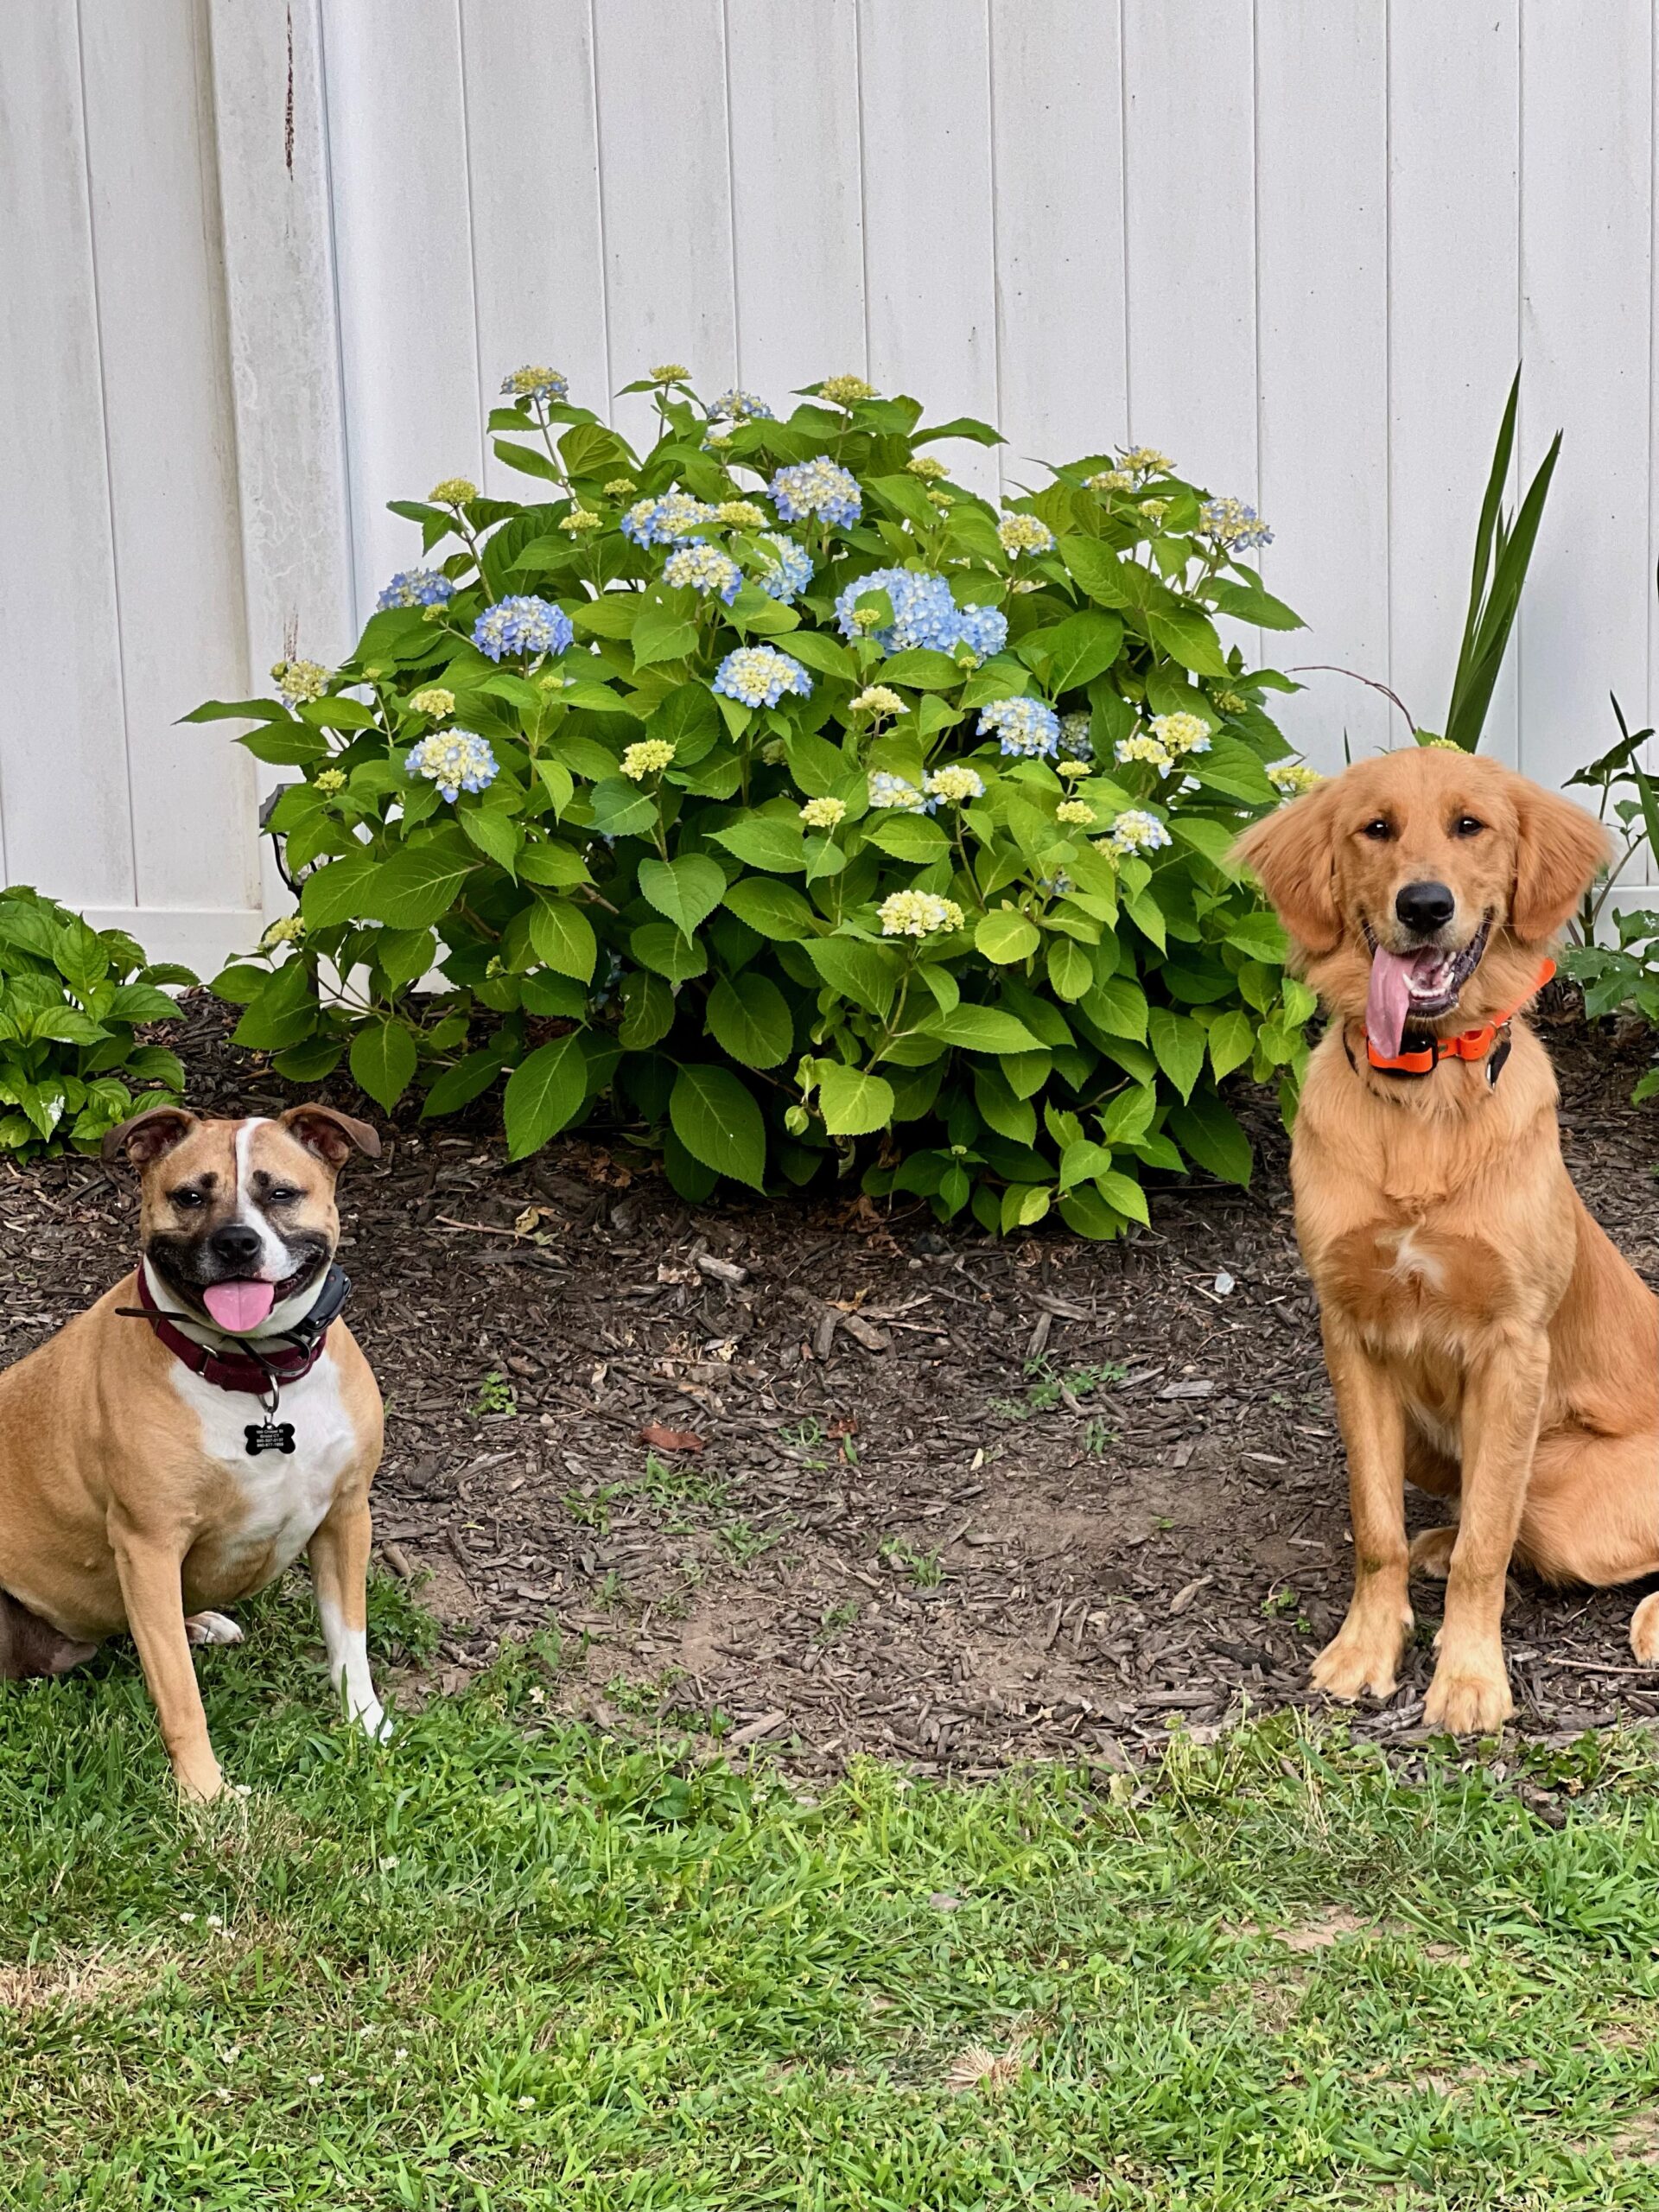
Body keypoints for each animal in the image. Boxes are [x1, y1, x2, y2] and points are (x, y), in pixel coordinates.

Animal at [0, 1106, 382, 1796]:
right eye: (190, 1197)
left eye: (280, 1193)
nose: (236, 1243)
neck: (258, 1376)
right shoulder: (148, 1545)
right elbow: (180, 1695)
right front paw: (207, 1796)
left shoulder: (346, 1516)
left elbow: (350, 1642)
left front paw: (367, 1727)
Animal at [1238, 752, 1659, 1734]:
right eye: (1376, 830)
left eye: (1471, 826)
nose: (1425, 905)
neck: (1423, 1094)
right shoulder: (1350, 1333)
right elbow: (1374, 1523)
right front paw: (1368, 1645)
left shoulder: (1512, 1346)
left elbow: (1490, 1545)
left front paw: (1468, 1676)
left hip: (1567, 1494)